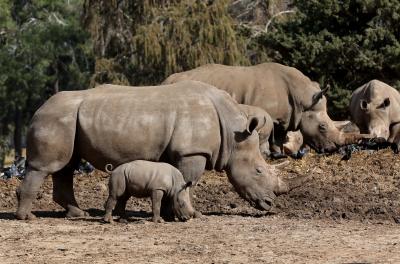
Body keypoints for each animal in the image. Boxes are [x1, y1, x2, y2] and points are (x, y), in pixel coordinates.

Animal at [16, 81, 294, 221]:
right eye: (258, 171)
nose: (270, 203)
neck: (232, 131)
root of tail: (38, 108)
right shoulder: (192, 152)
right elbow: (188, 182)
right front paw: (192, 215)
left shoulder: (177, 153)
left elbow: (179, 182)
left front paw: (172, 213)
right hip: (54, 118)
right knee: (47, 166)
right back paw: (27, 218)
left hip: (66, 119)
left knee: (66, 166)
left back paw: (77, 214)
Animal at [162, 62, 366, 153]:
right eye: (322, 127)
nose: (333, 149)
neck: (302, 100)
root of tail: (166, 80)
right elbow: (267, 134)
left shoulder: (286, 117)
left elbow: (280, 136)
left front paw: (278, 154)